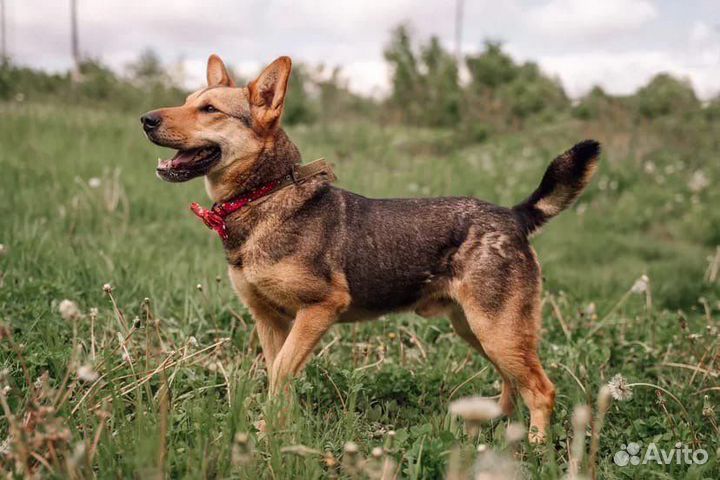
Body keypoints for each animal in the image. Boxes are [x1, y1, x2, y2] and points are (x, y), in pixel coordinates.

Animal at [139, 54, 596, 440]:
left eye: (210, 110)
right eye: (187, 101)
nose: (145, 119)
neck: (263, 195)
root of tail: (514, 215)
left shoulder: (320, 308)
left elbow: (281, 374)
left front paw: (268, 435)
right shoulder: (269, 321)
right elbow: (278, 377)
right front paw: (278, 433)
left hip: (496, 330)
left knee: (541, 390)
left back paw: (535, 448)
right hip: (477, 329)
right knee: (512, 384)